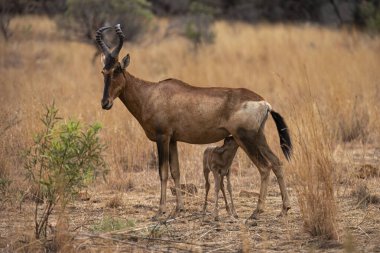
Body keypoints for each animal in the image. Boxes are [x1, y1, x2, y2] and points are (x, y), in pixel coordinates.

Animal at [96, 24, 292, 220]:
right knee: (277, 163)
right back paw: (284, 209)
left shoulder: (162, 137)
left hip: (245, 138)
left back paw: (256, 212)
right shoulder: (173, 140)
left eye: (117, 70)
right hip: (259, 137)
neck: (151, 93)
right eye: (103, 71)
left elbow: (163, 172)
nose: (105, 103)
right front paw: (179, 208)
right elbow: (176, 171)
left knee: (264, 168)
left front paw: (160, 211)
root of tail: (264, 103)